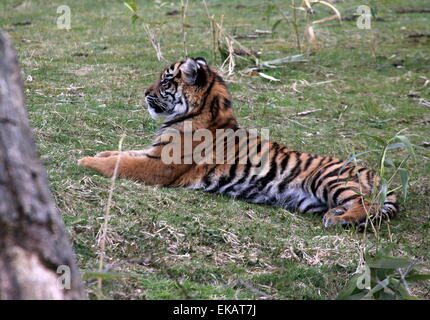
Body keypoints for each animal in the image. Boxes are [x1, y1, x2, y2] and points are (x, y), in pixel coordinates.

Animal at [77, 57, 396, 228]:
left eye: (165, 81)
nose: (145, 93)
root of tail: (378, 175)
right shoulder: (154, 152)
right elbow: (123, 152)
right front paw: (99, 152)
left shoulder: (161, 166)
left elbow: (123, 162)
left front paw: (85, 160)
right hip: (311, 200)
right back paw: (336, 214)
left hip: (329, 179)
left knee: (368, 205)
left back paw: (340, 219)